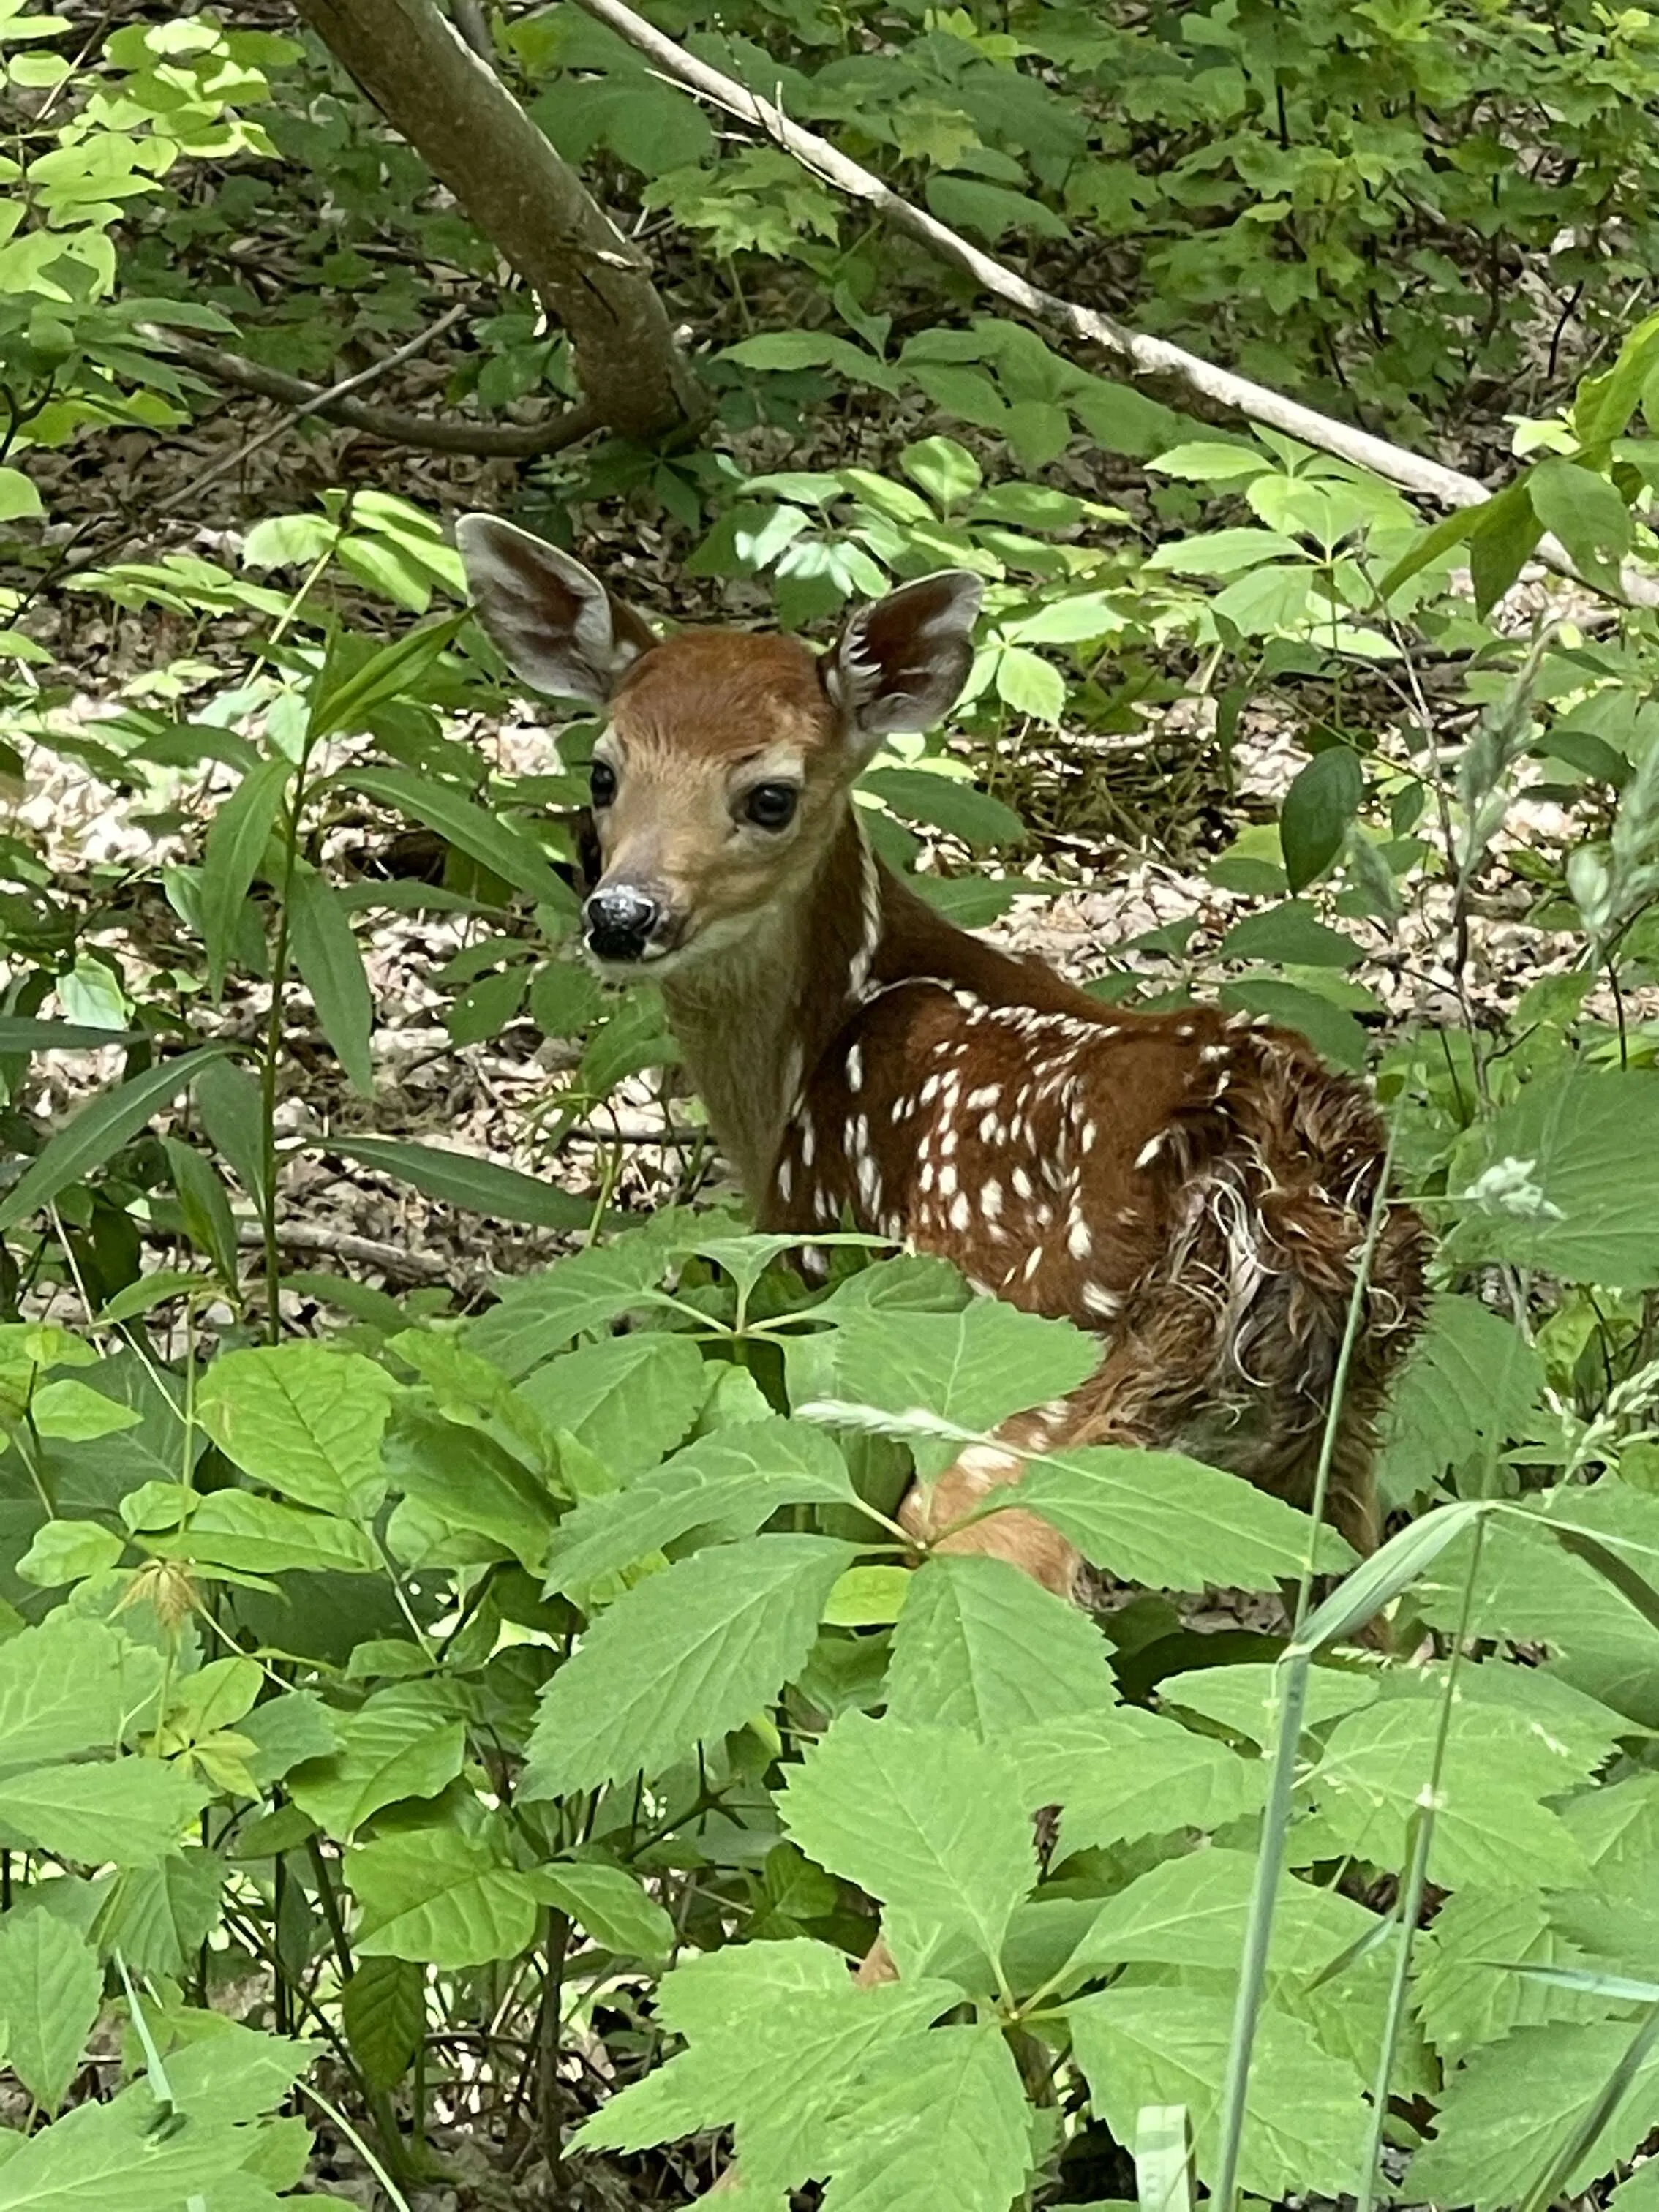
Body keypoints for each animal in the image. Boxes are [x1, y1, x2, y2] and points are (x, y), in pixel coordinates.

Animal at [455, 515, 1430, 2015]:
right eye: (602, 767)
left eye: (771, 794)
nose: (622, 915)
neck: (816, 1042)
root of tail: (1270, 1162)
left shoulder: (826, 1289)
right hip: (1335, 1447)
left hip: (1020, 1442)